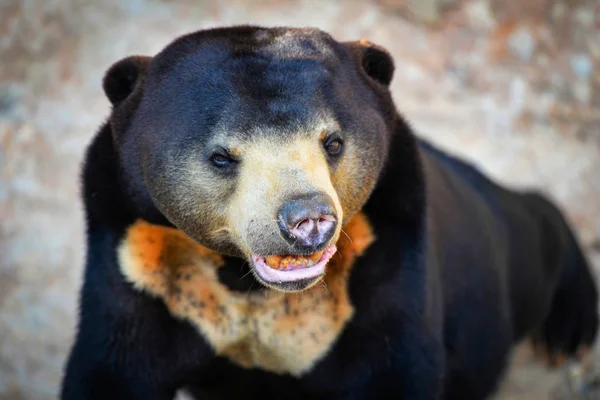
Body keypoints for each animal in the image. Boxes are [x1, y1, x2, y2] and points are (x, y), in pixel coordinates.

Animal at [58, 25, 596, 400]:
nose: (308, 220)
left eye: (333, 142)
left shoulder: (389, 255)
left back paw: (567, 330)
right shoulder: (137, 258)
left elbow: (393, 366)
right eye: (222, 157)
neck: (247, 287)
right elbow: (112, 368)